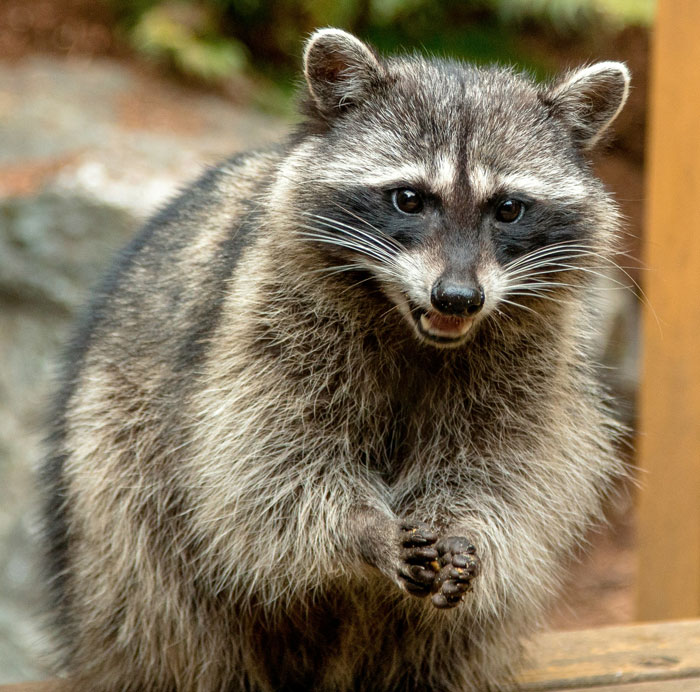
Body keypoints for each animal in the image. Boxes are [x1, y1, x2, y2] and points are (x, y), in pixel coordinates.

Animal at [41, 28, 630, 692]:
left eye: (508, 209)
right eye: (409, 199)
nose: (457, 297)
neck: (414, 329)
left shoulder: (530, 361)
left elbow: (502, 469)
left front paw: (464, 525)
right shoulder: (264, 328)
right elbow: (270, 467)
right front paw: (364, 530)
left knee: (449, 642)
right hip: (114, 499)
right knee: (165, 614)